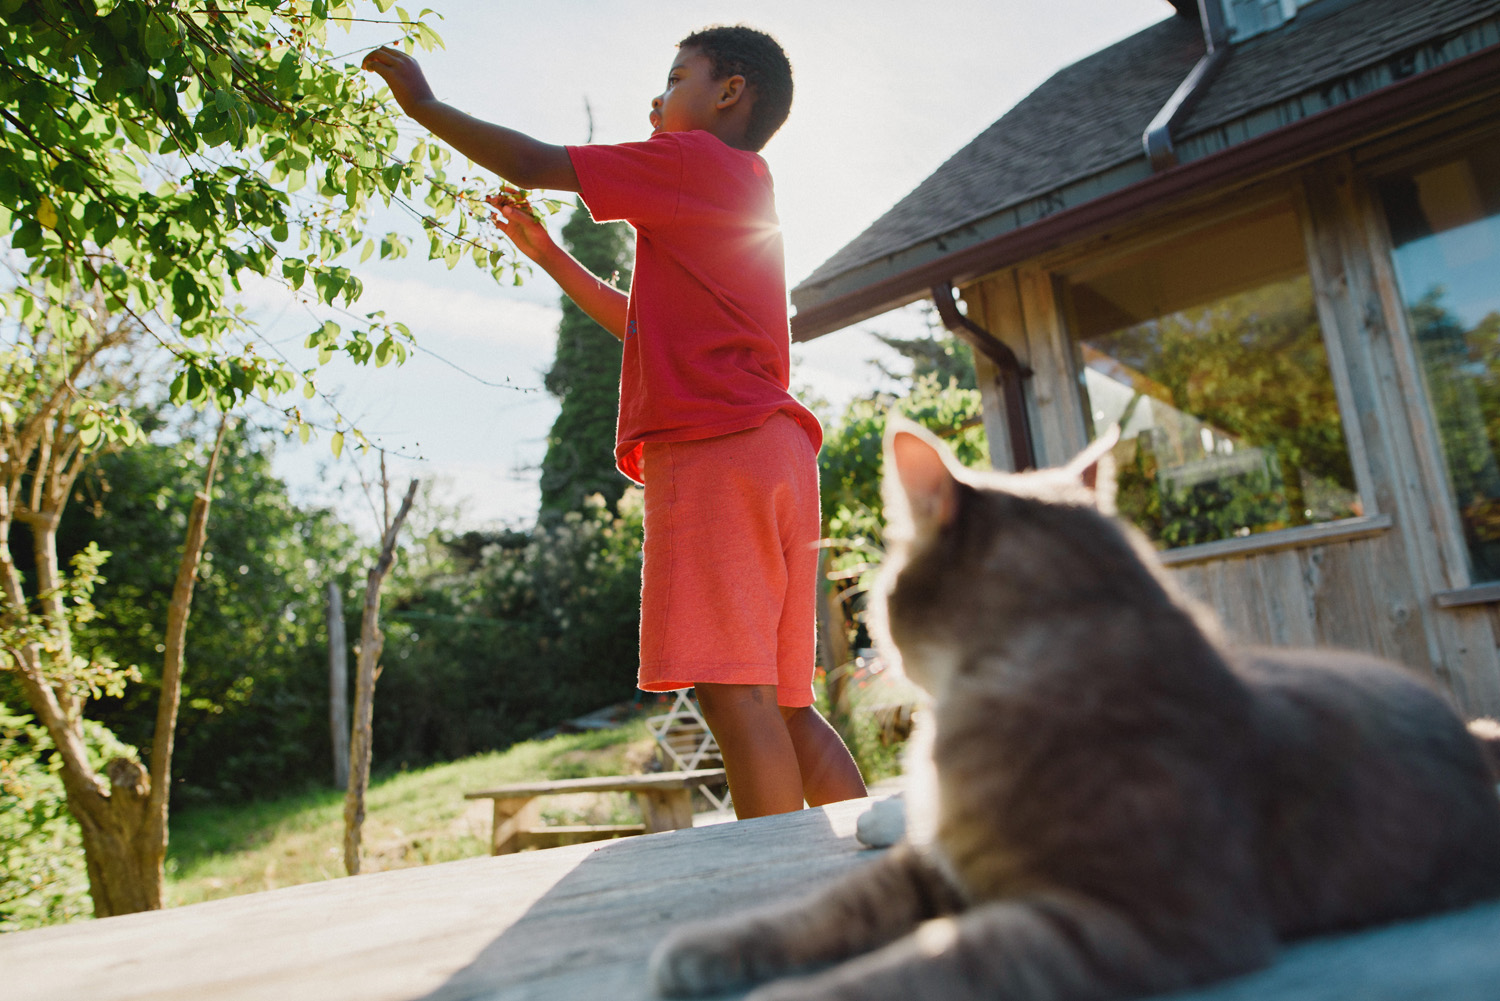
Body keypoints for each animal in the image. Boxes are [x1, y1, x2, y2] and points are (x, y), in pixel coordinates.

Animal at [651, 420, 1500, 996]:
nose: (871, 639)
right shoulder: (936, 867)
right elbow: (830, 904)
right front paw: (708, 946)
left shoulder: (1128, 919)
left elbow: (933, 964)